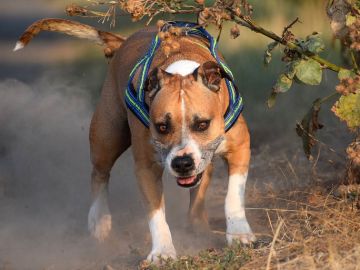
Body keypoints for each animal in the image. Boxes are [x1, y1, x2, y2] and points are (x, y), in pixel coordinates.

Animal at [15, 18, 255, 262]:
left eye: (203, 124)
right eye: (162, 126)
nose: (182, 163)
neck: (179, 68)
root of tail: (122, 42)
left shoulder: (240, 147)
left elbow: (233, 195)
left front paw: (239, 234)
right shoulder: (146, 168)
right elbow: (156, 213)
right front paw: (162, 251)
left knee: (199, 189)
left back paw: (198, 226)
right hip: (107, 137)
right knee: (99, 174)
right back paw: (99, 220)